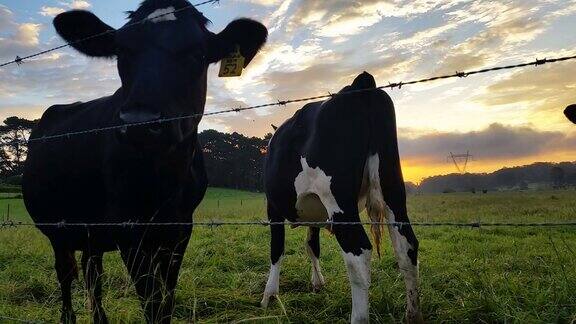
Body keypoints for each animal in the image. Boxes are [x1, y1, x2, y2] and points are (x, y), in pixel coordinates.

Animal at [20, 1, 268, 322]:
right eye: (121, 52)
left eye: (197, 54)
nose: (140, 123)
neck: (165, 182)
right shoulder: (130, 231)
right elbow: (151, 302)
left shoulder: (180, 230)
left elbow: (166, 300)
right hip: (56, 228)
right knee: (66, 275)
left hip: (92, 233)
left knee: (92, 273)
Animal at [262, 72, 424, 322]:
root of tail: (360, 83)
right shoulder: (315, 212)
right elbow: (312, 245)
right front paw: (317, 282)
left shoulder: (273, 207)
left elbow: (276, 249)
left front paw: (270, 295)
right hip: (393, 191)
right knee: (407, 247)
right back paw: (412, 315)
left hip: (340, 203)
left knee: (359, 253)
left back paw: (358, 317)